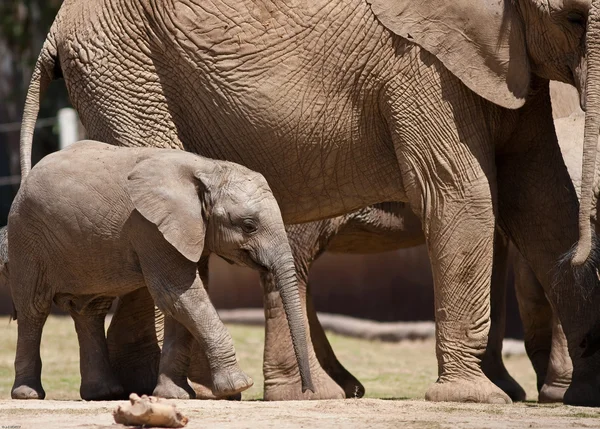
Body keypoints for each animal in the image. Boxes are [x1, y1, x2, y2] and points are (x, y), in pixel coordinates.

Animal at [8, 141, 314, 402]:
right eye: (249, 225)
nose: (307, 390)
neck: (208, 169)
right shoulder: (149, 227)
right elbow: (178, 294)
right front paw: (237, 386)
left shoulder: (186, 231)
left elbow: (182, 301)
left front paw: (174, 396)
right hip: (27, 238)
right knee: (34, 309)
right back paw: (28, 395)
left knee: (89, 310)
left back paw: (104, 394)